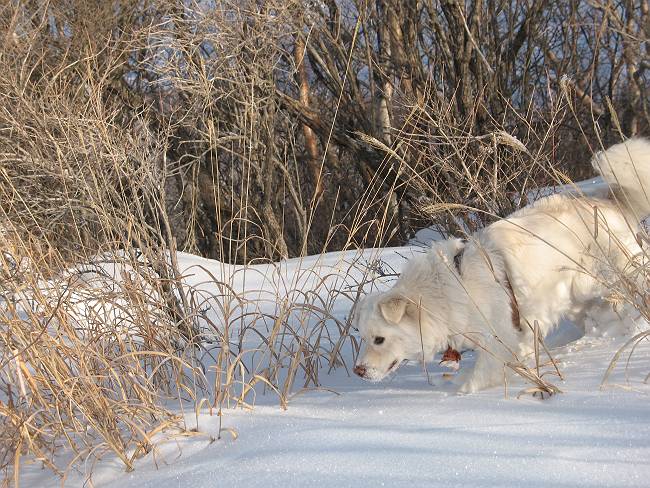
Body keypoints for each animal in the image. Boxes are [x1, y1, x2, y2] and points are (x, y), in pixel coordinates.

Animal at [353, 138, 650, 393]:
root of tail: (608, 198)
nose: (359, 371)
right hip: (574, 296)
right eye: (364, 337)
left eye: (379, 339)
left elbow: (479, 377)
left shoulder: (499, 340)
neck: (446, 293)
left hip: (617, 273)